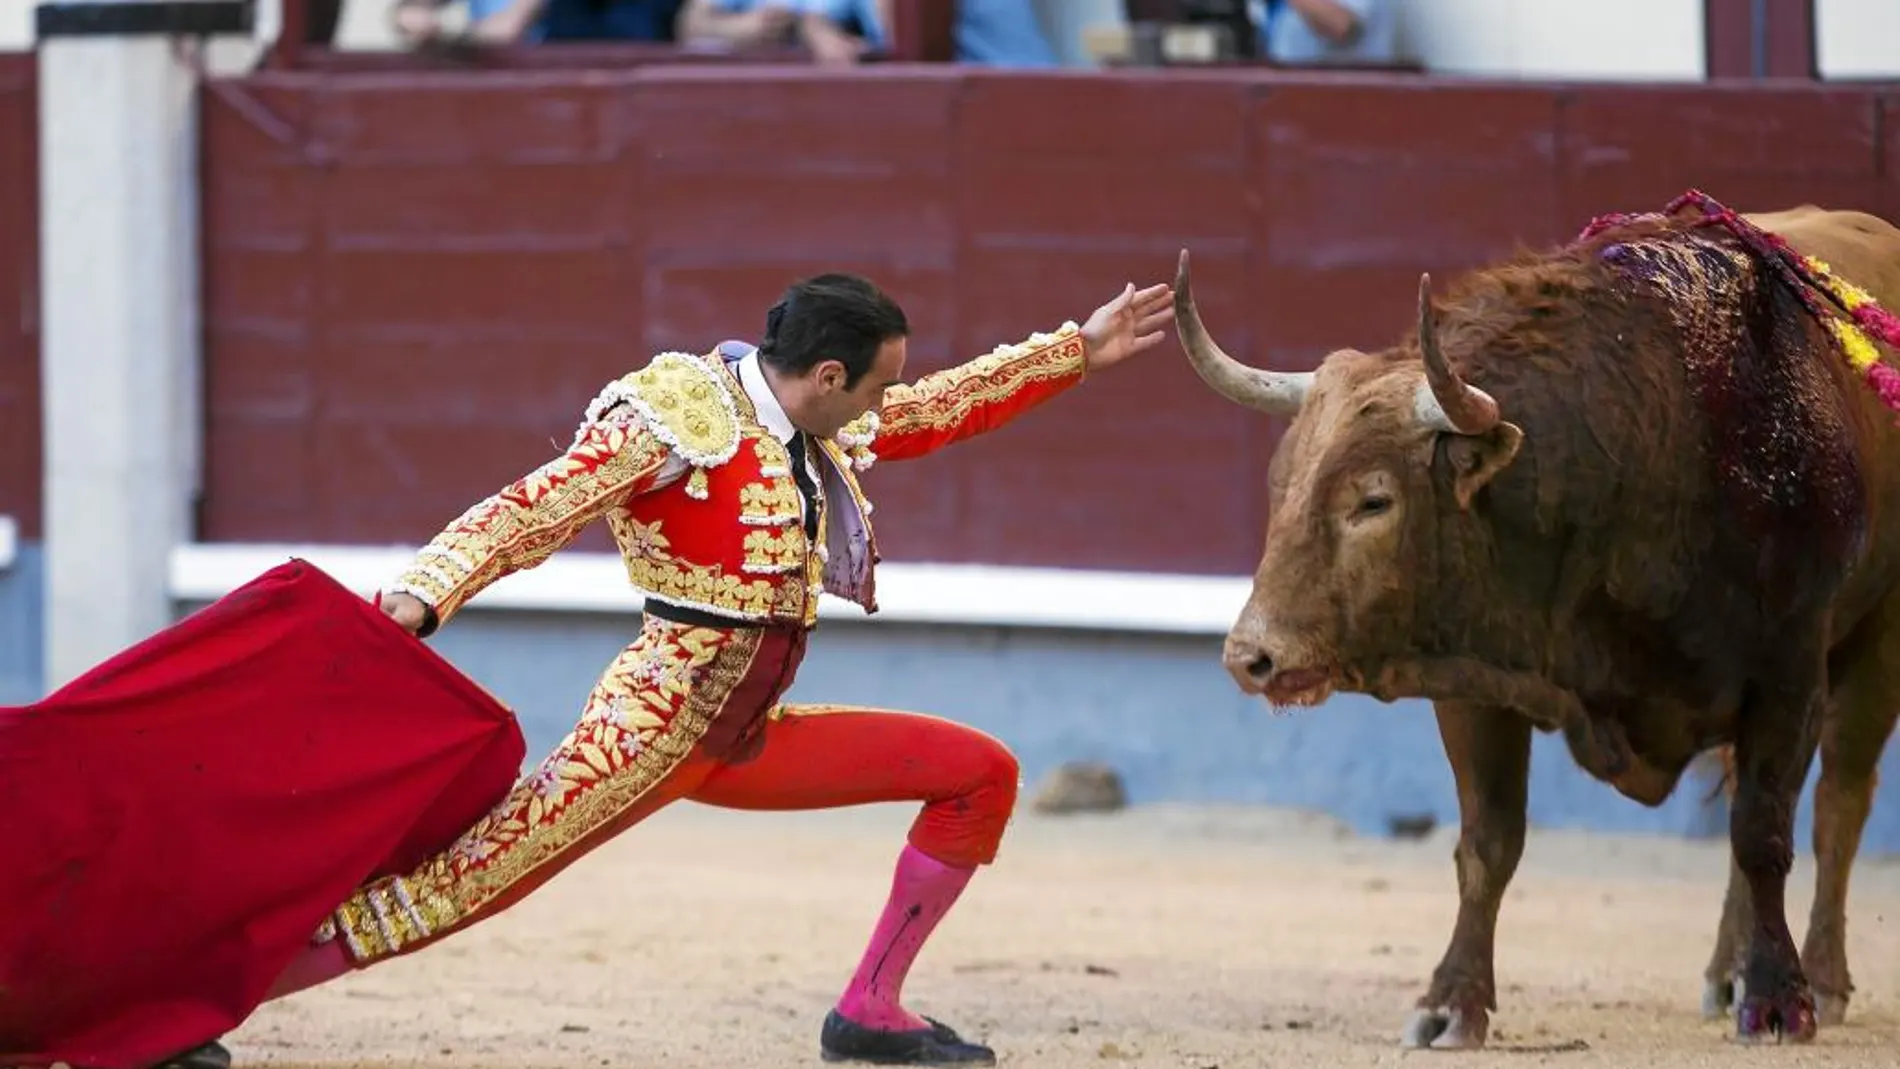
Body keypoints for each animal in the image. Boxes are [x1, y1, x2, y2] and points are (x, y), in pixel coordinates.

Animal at [1170, 196, 1900, 1048]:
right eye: (1279, 483)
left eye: (1374, 499)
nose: (1251, 654)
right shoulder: (1475, 677)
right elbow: (1489, 841)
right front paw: (1451, 1001)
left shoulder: (1787, 672)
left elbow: (1765, 832)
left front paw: (1781, 1000)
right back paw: (1726, 972)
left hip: (1877, 644)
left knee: (1837, 803)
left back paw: (1820, 976)